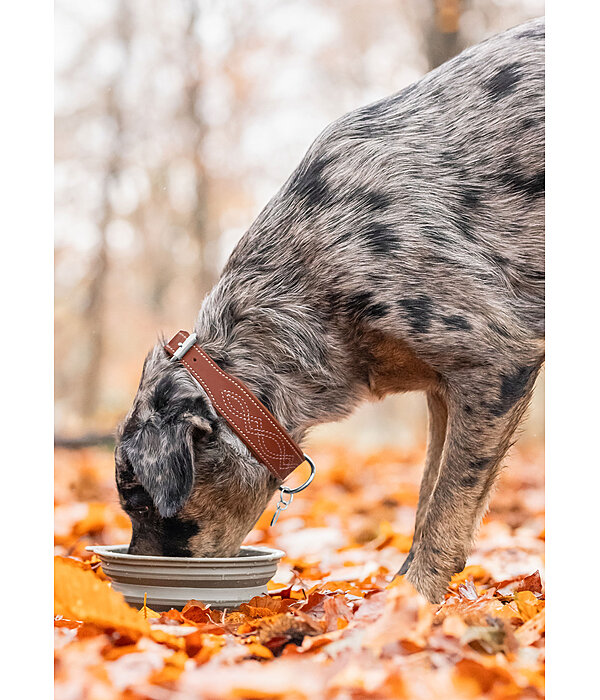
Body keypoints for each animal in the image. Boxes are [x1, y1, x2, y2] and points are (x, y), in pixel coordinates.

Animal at [115, 19, 548, 604]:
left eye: (136, 497)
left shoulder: (496, 359)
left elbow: (447, 505)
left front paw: (412, 601)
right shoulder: (444, 389)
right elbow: (428, 491)